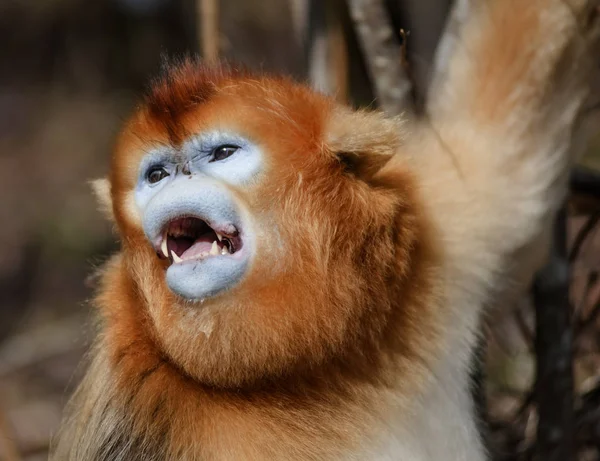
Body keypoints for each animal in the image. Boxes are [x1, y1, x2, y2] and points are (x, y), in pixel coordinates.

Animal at [51, 1, 600, 458]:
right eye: (157, 175)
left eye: (222, 154)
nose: (173, 181)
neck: (310, 367)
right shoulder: (136, 397)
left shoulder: (440, 227)